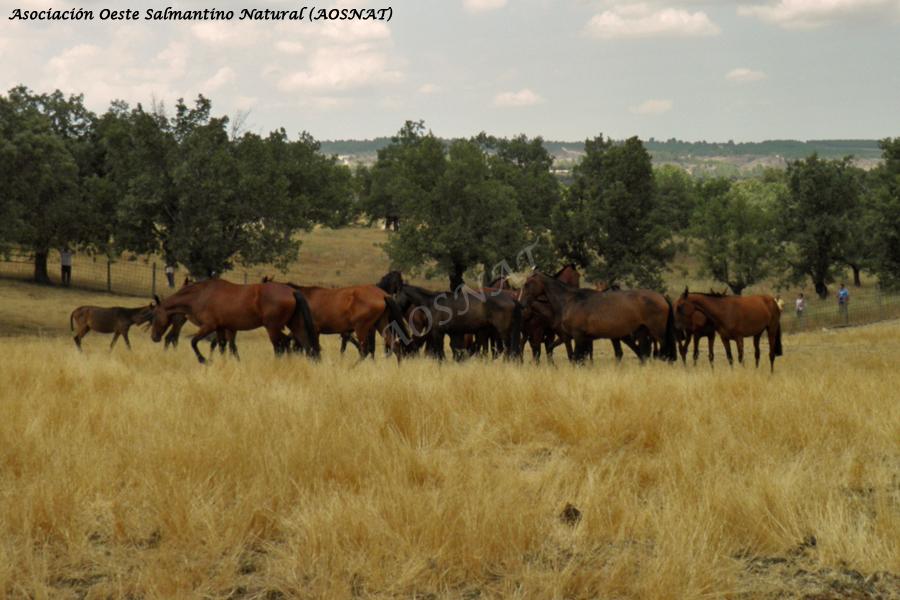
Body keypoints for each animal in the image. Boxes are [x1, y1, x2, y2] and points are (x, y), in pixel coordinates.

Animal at [148, 278, 316, 364]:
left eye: (154, 315)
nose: (154, 337)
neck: (201, 295)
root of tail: (292, 291)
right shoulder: (222, 328)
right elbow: (223, 346)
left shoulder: (209, 326)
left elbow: (193, 342)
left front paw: (203, 360)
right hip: (295, 326)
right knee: (306, 346)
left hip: (273, 328)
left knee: (281, 346)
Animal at [392, 282, 520, 358]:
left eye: (397, 294)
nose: (396, 308)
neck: (431, 302)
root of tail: (511, 299)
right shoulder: (454, 333)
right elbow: (456, 349)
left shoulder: (438, 333)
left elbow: (440, 351)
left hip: (502, 331)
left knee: (507, 348)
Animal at [512, 274, 676, 364]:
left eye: (527, 284)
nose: (521, 304)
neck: (570, 300)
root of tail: (663, 297)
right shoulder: (578, 338)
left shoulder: (577, 337)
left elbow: (576, 358)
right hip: (641, 333)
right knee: (643, 353)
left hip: (657, 333)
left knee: (663, 351)